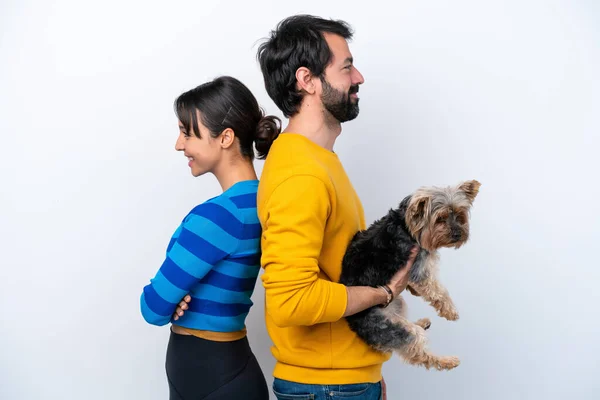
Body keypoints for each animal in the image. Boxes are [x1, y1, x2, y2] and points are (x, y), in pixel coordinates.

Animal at [340, 180, 480, 370]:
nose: (458, 234)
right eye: (440, 219)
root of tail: (354, 323)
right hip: (392, 328)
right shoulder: (419, 269)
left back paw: (421, 323)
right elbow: (439, 291)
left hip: (398, 302)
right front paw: (451, 311)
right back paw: (447, 360)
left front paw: (414, 291)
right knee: (419, 354)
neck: (407, 228)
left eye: (459, 215)